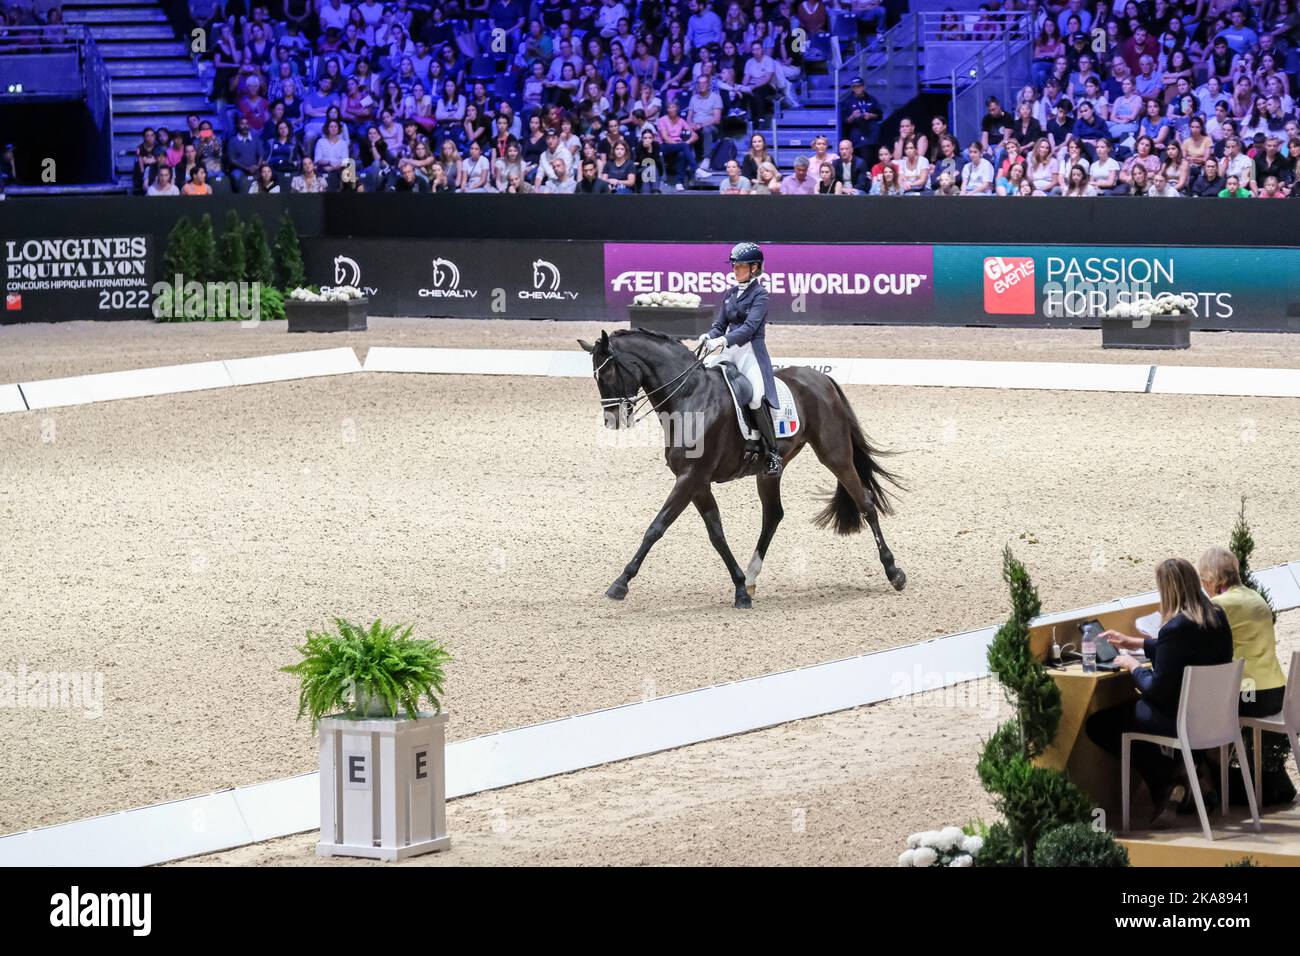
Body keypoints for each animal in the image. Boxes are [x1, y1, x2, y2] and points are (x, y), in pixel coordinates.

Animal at [579, 329, 904, 608]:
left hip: (834, 455)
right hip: (769, 472)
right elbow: (716, 534)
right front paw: (739, 589)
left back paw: (894, 572)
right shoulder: (698, 482)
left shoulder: (690, 478)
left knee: (865, 503)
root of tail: (821, 379)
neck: (689, 396)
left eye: (607, 373)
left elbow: (656, 527)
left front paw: (620, 583)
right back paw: (750, 578)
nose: (612, 421)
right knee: (773, 515)